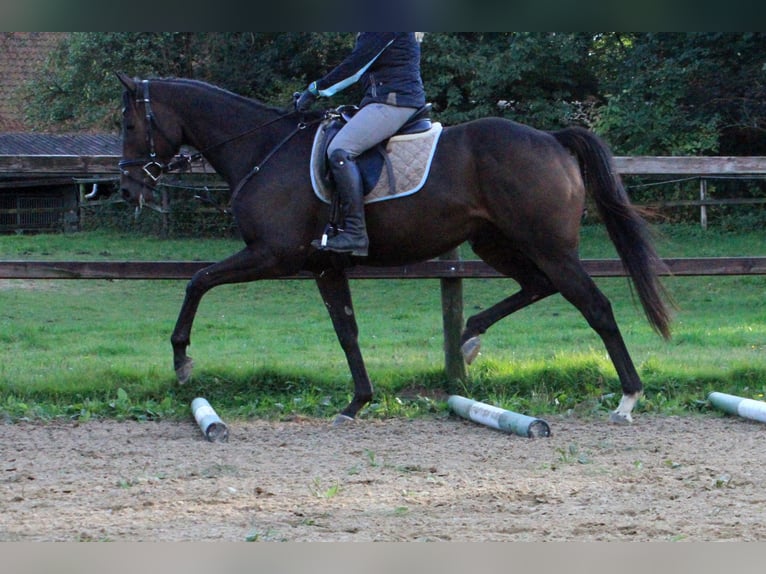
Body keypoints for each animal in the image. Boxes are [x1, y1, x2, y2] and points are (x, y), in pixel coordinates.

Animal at [115, 72, 672, 426]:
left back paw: (628, 397)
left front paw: (182, 360)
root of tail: (553, 140)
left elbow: (198, 281)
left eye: (129, 125)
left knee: (594, 306)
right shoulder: (324, 266)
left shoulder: (274, 255)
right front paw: (356, 404)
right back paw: (468, 338)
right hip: (495, 241)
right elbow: (347, 331)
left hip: (547, 245)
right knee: (537, 285)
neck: (261, 150)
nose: (128, 188)